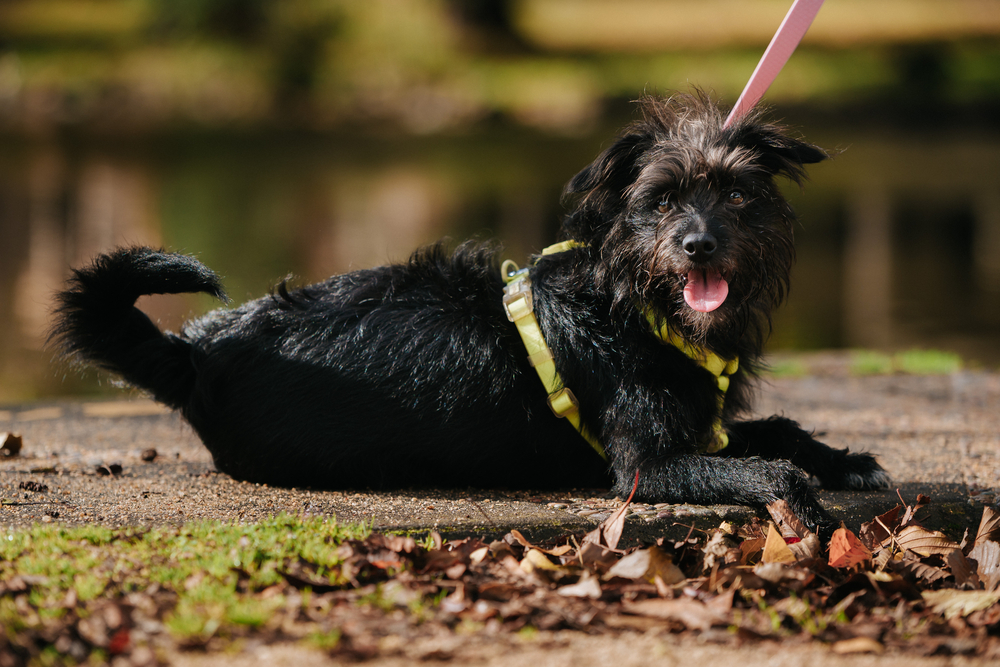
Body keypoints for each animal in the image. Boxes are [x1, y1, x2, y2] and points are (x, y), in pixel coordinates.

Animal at [52, 94, 884, 528]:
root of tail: (199, 349)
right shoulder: (647, 465)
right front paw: (803, 495)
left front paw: (844, 459)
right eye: (661, 200)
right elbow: (761, 467)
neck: (631, 304)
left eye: (738, 193)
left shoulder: (700, 424)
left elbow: (778, 430)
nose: (698, 243)